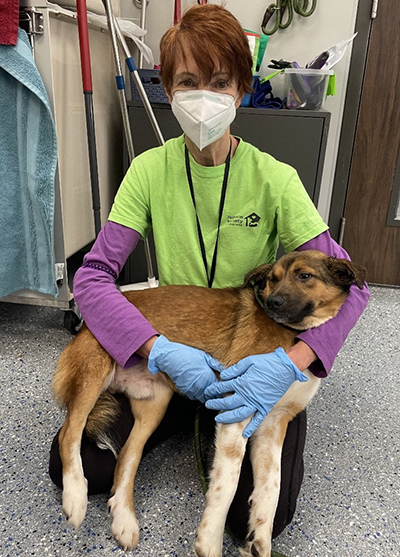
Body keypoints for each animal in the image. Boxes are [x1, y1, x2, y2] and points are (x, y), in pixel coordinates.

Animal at [52, 250, 366, 556]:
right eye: (272, 279)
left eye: (304, 276)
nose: (272, 303)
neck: (293, 335)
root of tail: (84, 327)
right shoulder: (235, 415)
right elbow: (226, 485)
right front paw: (210, 541)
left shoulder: (271, 426)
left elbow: (272, 488)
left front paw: (260, 541)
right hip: (94, 374)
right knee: (70, 434)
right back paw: (76, 496)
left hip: (154, 405)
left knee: (128, 455)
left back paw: (124, 519)